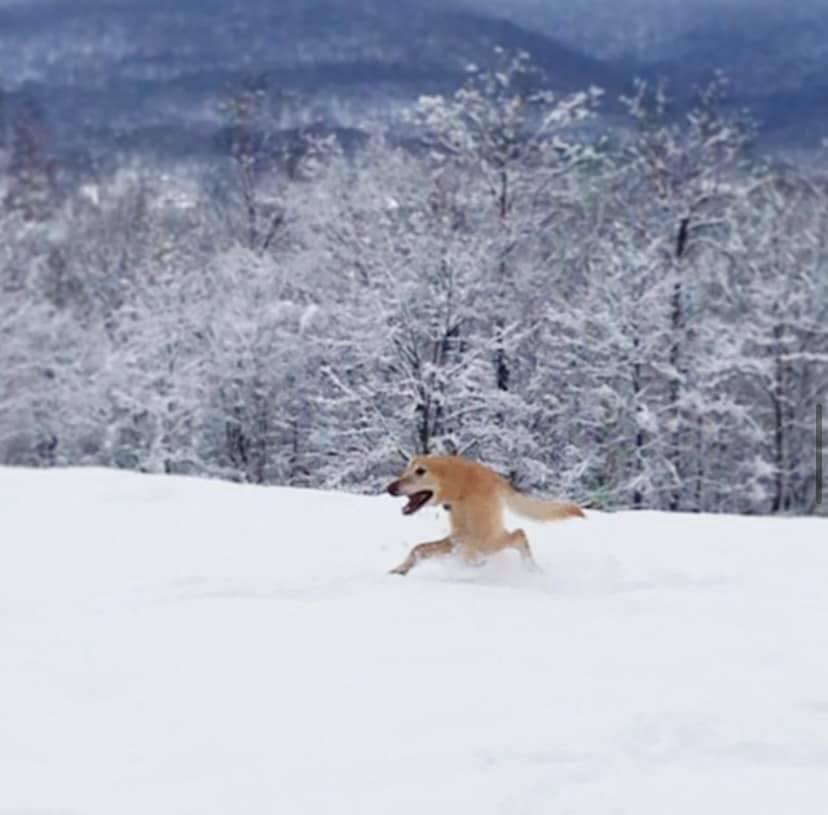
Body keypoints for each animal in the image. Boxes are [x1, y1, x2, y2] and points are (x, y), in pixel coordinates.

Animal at [386, 456, 584, 576]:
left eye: (420, 471)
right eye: (405, 470)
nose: (389, 488)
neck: (460, 487)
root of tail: (497, 478)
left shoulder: (470, 540)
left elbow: (465, 557)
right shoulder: (458, 537)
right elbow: (418, 548)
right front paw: (400, 569)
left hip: (488, 539)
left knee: (519, 534)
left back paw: (531, 569)